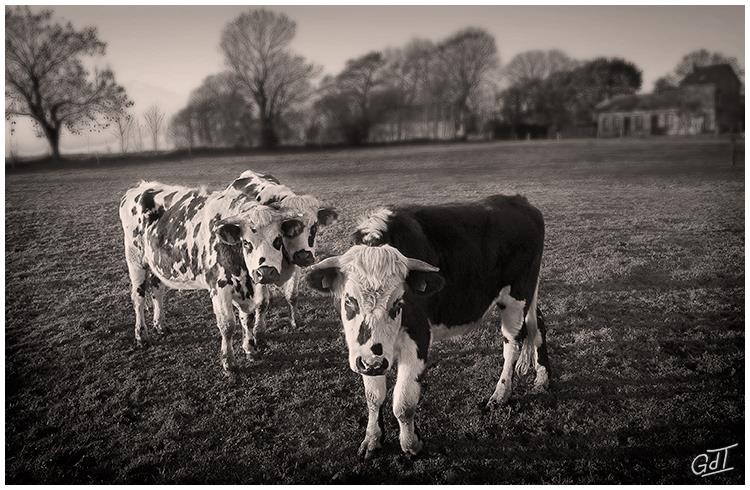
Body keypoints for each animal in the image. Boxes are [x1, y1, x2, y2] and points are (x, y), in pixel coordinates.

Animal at [117, 180, 296, 376]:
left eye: (278, 240)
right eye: (247, 243)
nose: (265, 272)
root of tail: (141, 187)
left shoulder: (248, 288)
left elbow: (248, 319)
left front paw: (250, 349)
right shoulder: (219, 287)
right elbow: (227, 325)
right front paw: (229, 362)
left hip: (157, 263)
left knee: (157, 291)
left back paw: (160, 325)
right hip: (135, 261)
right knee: (138, 299)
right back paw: (141, 336)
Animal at [226, 170, 338, 328]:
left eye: (315, 226)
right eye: (291, 229)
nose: (304, 256)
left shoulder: (294, 267)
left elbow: (292, 296)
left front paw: (295, 320)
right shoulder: (258, 269)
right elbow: (262, 302)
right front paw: (259, 326)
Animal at [306, 195, 552, 460]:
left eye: (398, 302)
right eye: (349, 301)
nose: (373, 363)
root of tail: (518, 201)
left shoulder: (418, 340)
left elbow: (403, 402)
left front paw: (411, 445)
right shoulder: (365, 353)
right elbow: (373, 397)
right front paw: (372, 440)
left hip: (516, 298)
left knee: (512, 344)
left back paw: (501, 394)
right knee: (538, 324)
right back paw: (542, 375)